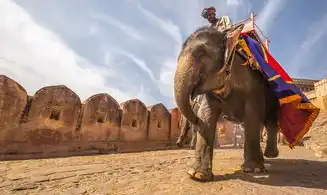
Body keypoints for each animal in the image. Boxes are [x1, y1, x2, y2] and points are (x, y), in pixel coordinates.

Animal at [176, 24, 280, 181]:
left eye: (201, 53)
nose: (195, 119)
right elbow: (207, 115)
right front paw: (197, 175)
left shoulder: (254, 86)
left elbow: (253, 116)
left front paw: (252, 170)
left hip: (272, 95)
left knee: (269, 121)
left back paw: (270, 156)